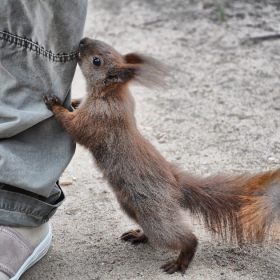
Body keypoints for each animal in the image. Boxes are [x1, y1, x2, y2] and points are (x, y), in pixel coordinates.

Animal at [42, 38, 280, 274]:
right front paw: (74, 101)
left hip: (155, 212)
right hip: (131, 205)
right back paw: (139, 235)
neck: (112, 93)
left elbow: (76, 128)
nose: (82, 41)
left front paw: (55, 104)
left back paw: (181, 260)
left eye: (97, 61)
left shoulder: (99, 119)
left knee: (181, 236)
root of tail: (176, 184)